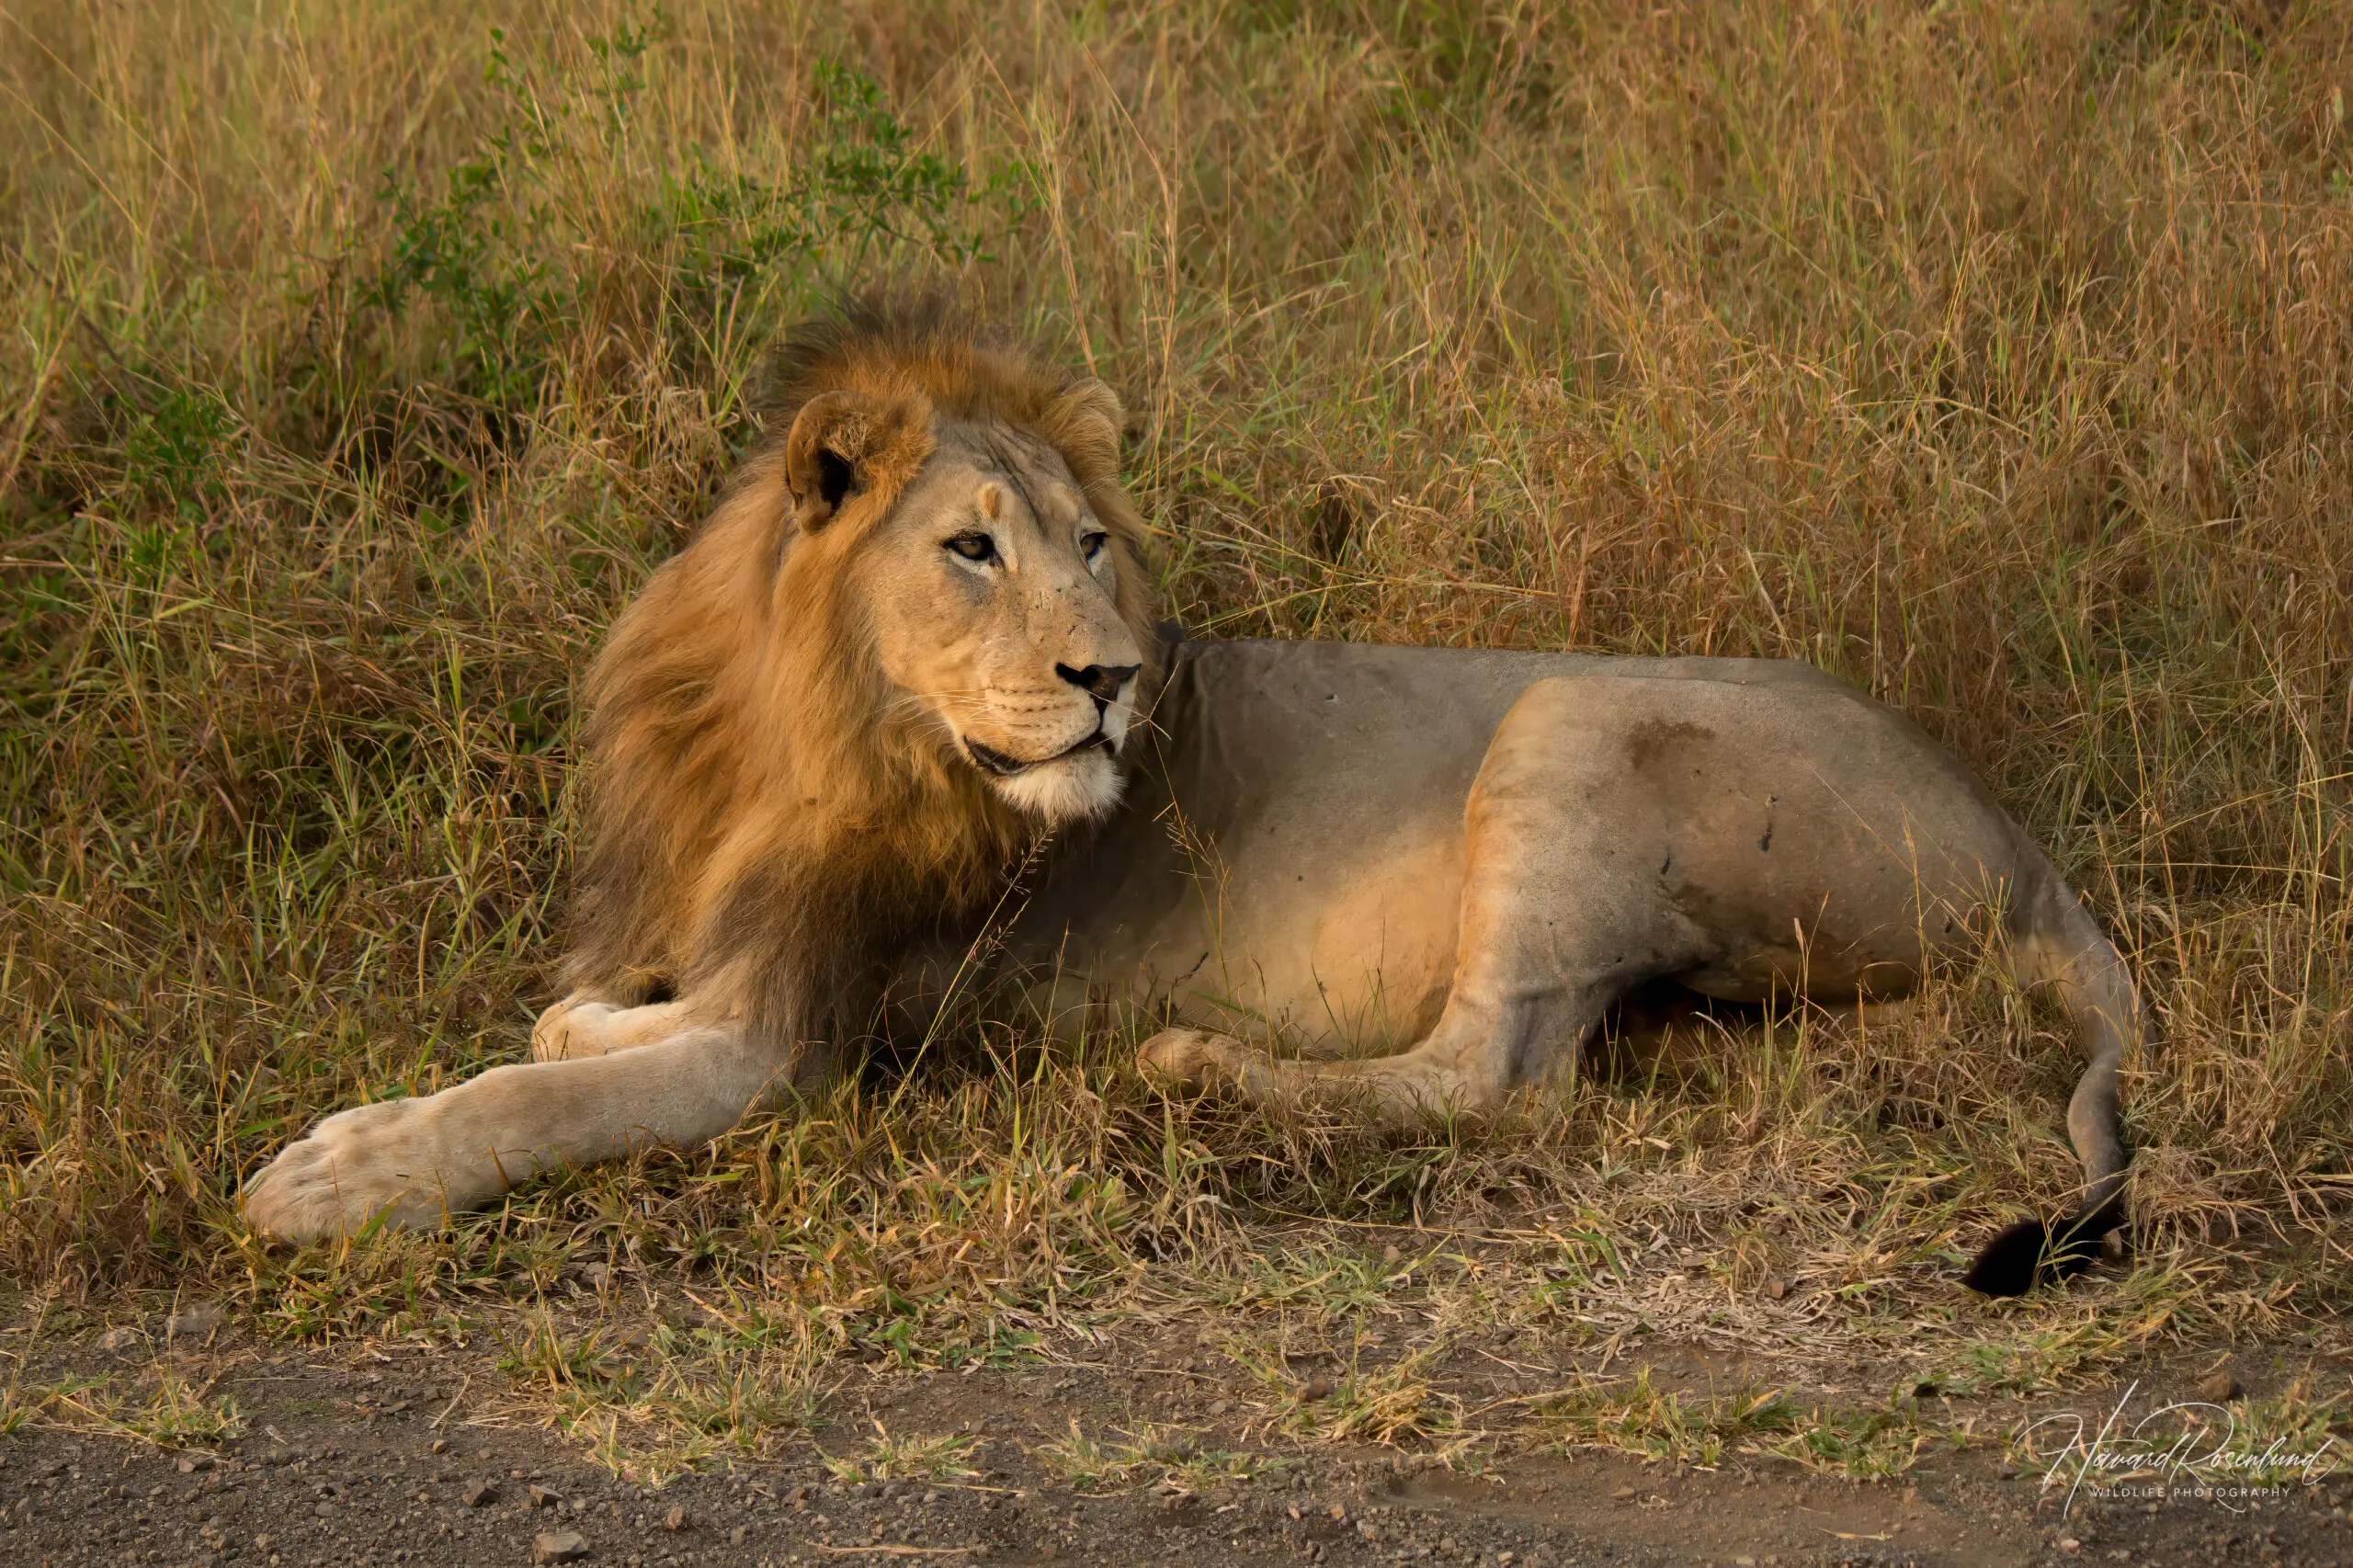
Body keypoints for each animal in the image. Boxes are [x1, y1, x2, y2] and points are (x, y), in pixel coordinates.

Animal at [248, 296, 2145, 1290]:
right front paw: (564, 1023)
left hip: (1570, 721)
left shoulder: (798, 1048)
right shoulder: (758, 959)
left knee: (1498, 1077)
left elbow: (534, 1093)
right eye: (971, 550)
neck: (809, 735)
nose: (1115, 677)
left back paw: (1198, 1070)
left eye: (1092, 544)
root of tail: (2024, 839)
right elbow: (581, 1021)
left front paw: (341, 1172)